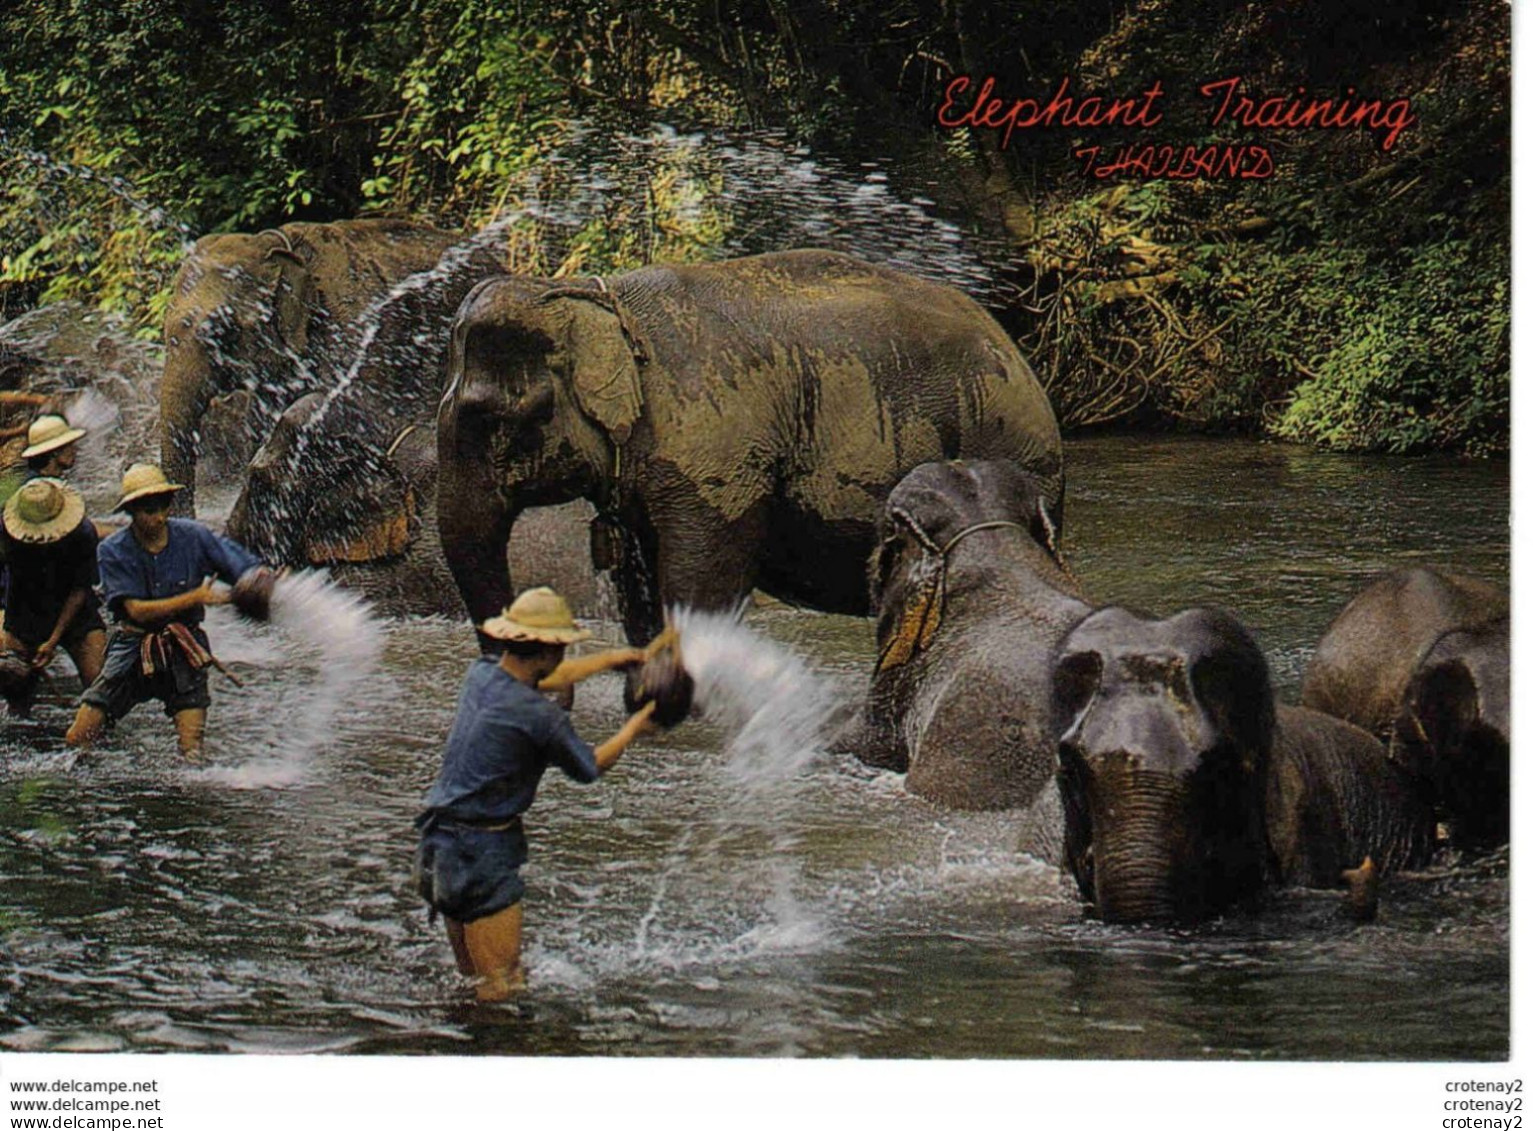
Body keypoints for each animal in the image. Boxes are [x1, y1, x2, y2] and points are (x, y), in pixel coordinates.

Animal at [441, 246, 1066, 637]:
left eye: (491, 416)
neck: (600, 299)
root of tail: (1019, 354)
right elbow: (638, 596)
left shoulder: (716, 458)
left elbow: (700, 588)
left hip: (1005, 445)